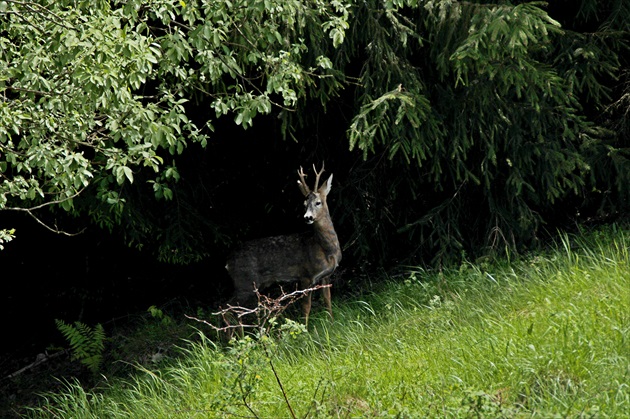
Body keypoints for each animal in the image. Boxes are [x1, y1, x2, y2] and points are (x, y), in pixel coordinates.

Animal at [227, 164, 344, 324]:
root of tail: (228, 263)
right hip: (244, 281)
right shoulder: (306, 275)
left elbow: (328, 300)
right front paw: (305, 328)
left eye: (318, 202)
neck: (326, 249)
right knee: (228, 308)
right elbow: (306, 307)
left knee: (236, 311)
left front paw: (332, 322)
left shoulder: (326, 276)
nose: (307, 217)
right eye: (304, 204)